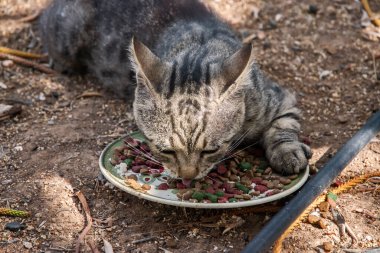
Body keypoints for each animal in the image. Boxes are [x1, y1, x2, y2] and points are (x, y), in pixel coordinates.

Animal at [39, 0, 312, 179]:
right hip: (67, 35)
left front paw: (288, 153)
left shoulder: (279, 99)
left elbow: (283, 126)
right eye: (166, 151)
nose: (187, 176)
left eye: (211, 150)